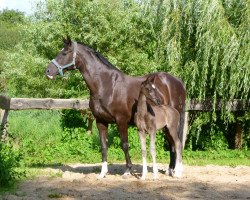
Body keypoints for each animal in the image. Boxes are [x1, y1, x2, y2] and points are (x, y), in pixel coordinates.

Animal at [45, 37, 186, 178]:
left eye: (64, 53)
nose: (47, 71)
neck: (107, 85)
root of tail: (179, 82)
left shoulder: (121, 121)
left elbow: (124, 145)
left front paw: (128, 170)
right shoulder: (101, 121)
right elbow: (103, 146)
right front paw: (102, 172)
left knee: (175, 143)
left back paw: (175, 170)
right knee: (172, 144)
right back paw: (170, 170)